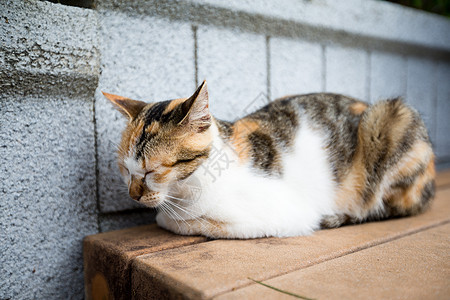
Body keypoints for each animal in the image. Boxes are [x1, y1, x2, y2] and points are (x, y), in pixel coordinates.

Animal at [103, 80, 436, 239]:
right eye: (125, 171)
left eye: (151, 171)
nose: (133, 195)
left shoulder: (285, 214)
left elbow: (189, 222)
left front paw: (174, 219)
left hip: (390, 118)